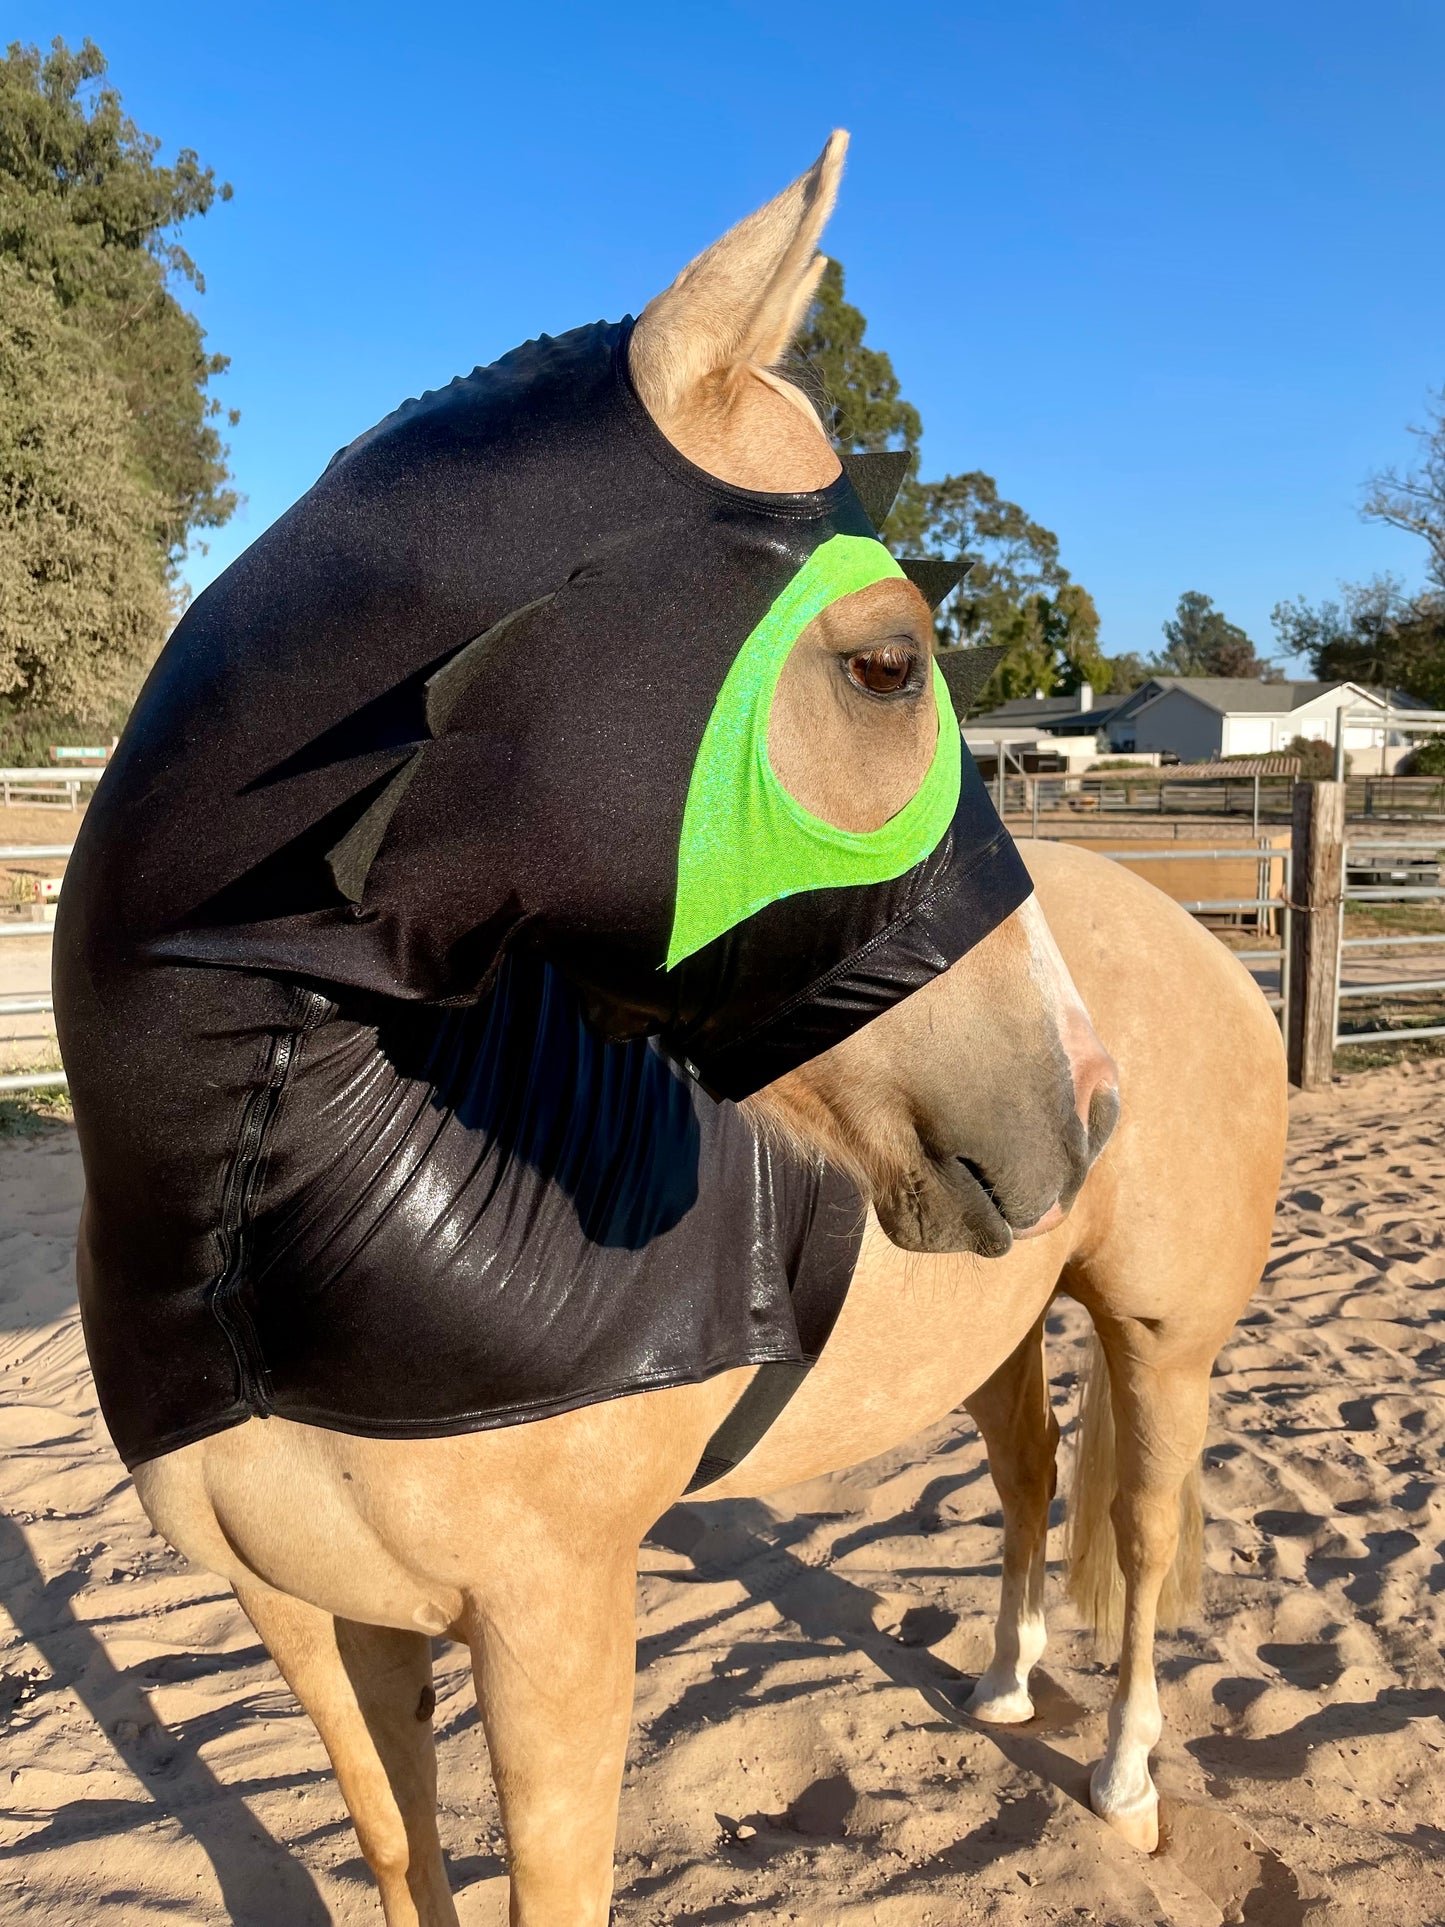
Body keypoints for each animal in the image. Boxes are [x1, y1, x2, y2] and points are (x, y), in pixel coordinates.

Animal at [74, 138, 1287, 1923]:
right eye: (885, 665)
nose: (1082, 1097)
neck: (259, 1215)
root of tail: (1199, 942)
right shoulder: (310, 1619)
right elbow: (398, 1853)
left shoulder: (554, 1634)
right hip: (1003, 1307)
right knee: (1024, 1469)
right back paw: (1001, 1683)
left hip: (1161, 1332)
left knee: (1137, 1533)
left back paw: (1125, 1778)